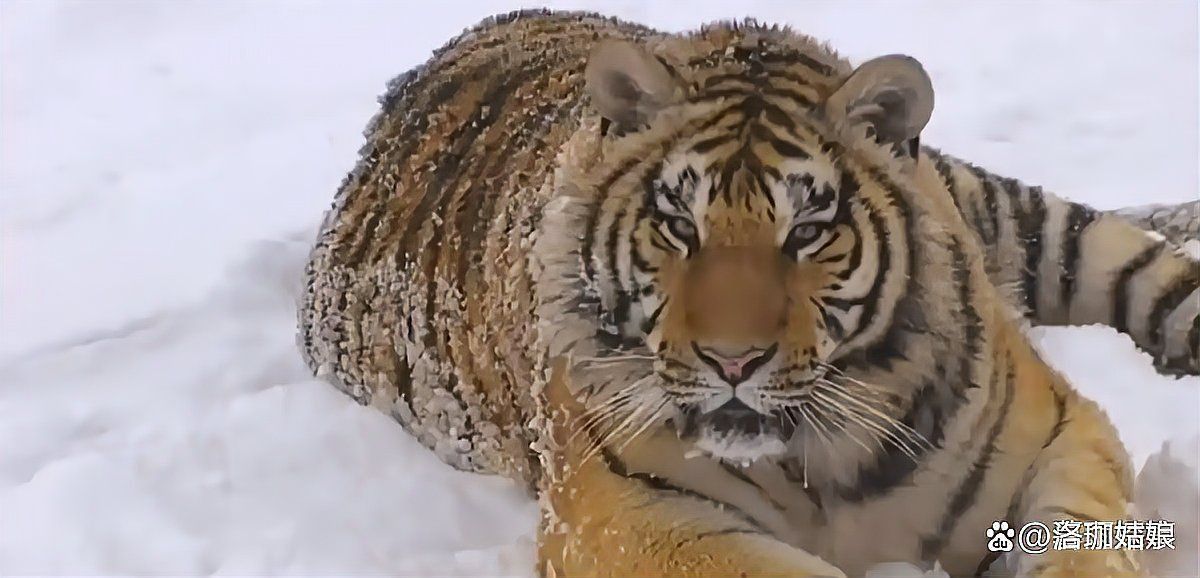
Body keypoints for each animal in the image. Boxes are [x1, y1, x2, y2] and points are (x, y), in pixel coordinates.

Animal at [298, 10, 1200, 578]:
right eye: (678, 226)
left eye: (806, 232)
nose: (733, 363)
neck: (827, 458)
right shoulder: (628, 515)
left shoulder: (1057, 434)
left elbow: (1081, 545)